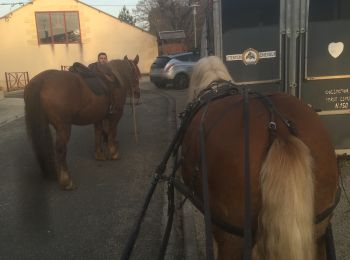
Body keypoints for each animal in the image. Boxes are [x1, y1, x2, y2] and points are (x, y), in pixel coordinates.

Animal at [23, 54, 142, 190]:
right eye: (136, 73)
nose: (137, 93)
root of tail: (42, 80)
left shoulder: (98, 117)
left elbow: (98, 134)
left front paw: (99, 155)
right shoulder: (116, 115)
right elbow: (112, 133)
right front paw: (113, 153)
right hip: (63, 126)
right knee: (60, 149)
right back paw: (66, 180)